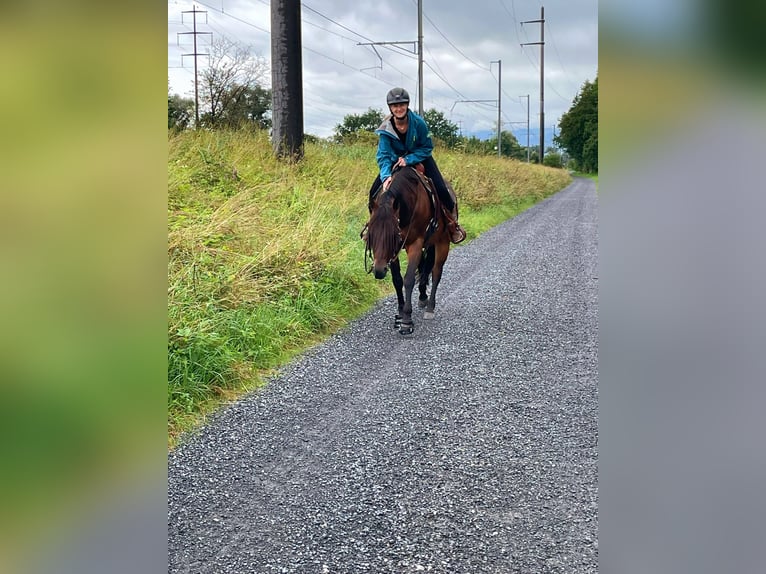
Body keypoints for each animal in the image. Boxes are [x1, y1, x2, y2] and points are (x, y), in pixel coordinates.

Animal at [364, 166, 452, 336]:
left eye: (392, 236)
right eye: (371, 235)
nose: (379, 271)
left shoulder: (416, 244)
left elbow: (409, 279)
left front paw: (406, 320)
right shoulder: (395, 251)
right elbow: (397, 280)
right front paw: (399, 311)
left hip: (442, 242)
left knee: (436, 272)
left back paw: (430, 307)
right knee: (425, 270)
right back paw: (423, 297)